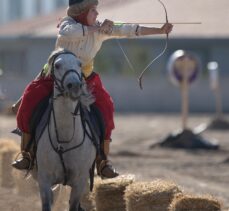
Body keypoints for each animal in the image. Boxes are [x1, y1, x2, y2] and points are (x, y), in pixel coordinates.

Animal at [33, 48, 95, 210]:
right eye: (57, 65)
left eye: (79, 64)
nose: (75, 86)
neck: (65, 137)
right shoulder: (44, 180)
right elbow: (47, 203)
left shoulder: (79, 181)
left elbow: (74, 205)